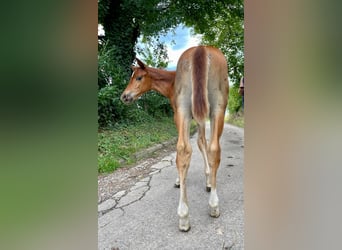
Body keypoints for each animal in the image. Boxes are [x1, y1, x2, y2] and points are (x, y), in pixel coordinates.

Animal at [121, 46, 230, 231]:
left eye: (138, 77)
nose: (124, 96)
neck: (171, 83)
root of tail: (200, 49)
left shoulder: (178, 115)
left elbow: (194, 145)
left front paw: (184, 180)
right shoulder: (196, 116)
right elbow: (201, 143)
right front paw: (208, 180)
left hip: (193, 110)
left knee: (191, 149)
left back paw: (192, 213)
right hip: (216, 108)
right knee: (209, 148)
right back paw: (202, 209)